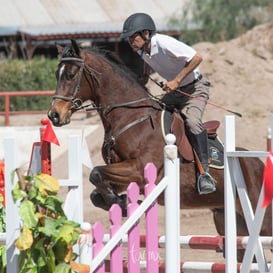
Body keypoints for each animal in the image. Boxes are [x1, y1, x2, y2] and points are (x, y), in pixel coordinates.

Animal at [46, 39, 270, 260]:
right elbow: (96, 189)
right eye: (56, 74)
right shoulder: (123, 174)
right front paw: (121, 202)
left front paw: (120, 202)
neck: (131, 118)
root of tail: (258, 163)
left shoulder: (138, 169)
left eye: (70, 74)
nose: (54, 115)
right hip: (228, 220)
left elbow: (95, 172)